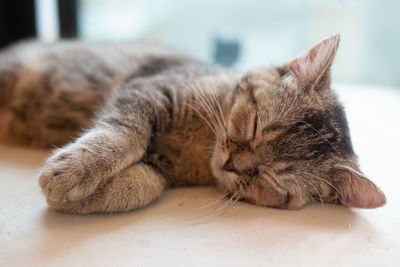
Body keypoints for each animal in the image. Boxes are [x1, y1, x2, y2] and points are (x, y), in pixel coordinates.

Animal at [0, 36, 388, 216]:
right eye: (256, 125)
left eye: (271, 178)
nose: (233, 164)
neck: (200, 148)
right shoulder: (147, 90)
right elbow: (124, 133)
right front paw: (78, 169)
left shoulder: (161, 172)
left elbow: (144, 186)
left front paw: (78, 195)